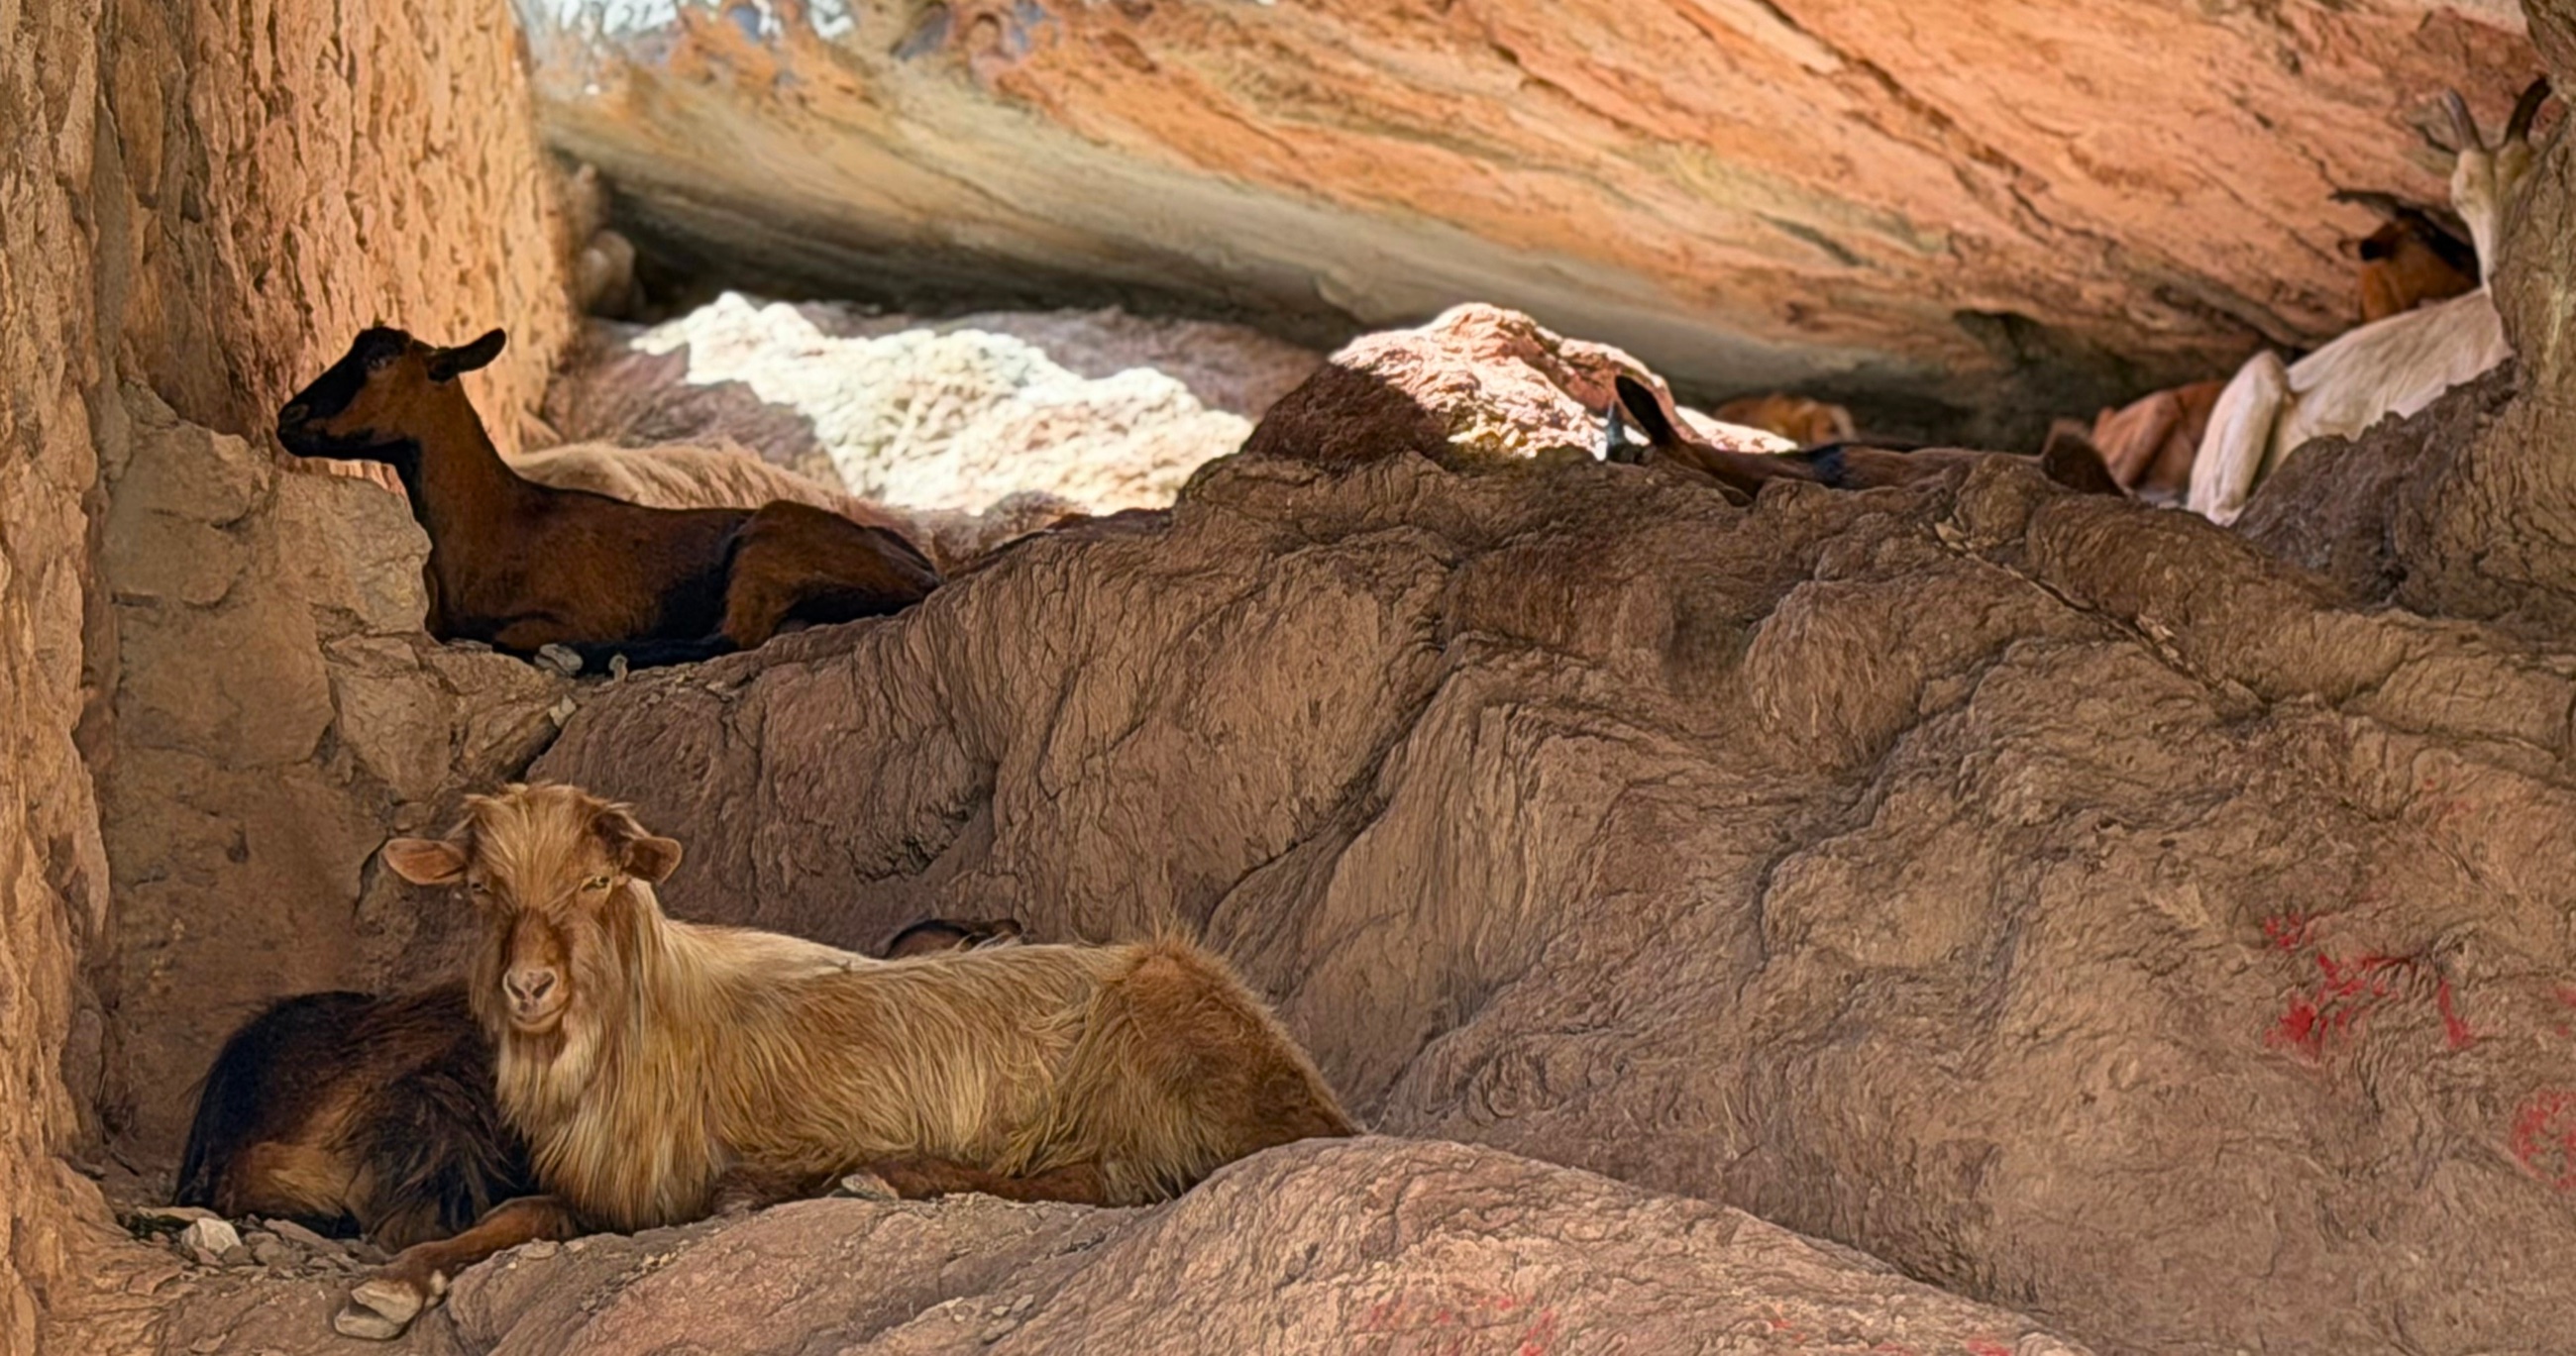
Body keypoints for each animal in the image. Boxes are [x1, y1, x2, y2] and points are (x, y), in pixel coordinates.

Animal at [276, 327, 942, 668]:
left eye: (380, 358)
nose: (289, 416)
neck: (502, 521)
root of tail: (923, 574)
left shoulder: (574, 609)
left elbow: (508, 637)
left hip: (771, 541)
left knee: (730, 637)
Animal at [341, 783, 1355, 1337]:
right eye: (482, 889)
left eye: (596, 880)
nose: (530, 986)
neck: (651, 1023)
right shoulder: (604, 1191)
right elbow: (518, 1211)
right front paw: (394, 1285)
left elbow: (738, 1185)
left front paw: (772, 1190)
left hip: (1150, 1035)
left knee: (1109, 1179)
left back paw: (891, 1176)